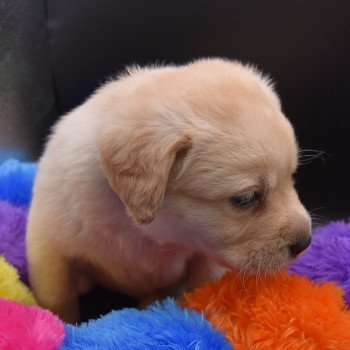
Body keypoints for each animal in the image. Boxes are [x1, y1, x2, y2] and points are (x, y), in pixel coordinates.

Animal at [26, 58, 312, 322]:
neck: (147, 233)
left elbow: (196, 288)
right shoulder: (48, 248)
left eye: (291, 178)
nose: (305, 243)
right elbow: (57, 298)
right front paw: (62, 325)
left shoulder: (204, 263)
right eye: (245, 198)